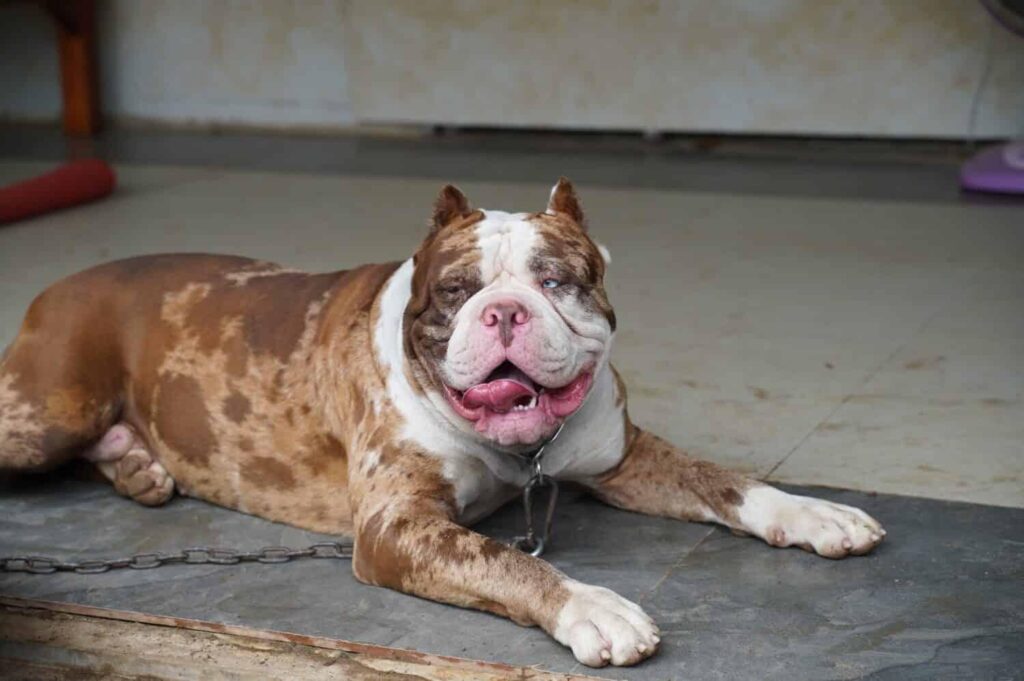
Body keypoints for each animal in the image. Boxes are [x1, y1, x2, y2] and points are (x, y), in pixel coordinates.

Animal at [0, 179, 884, 663]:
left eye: (557, 280)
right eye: (457, 290)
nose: (503, 310)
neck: (514, 453)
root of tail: (61, 282)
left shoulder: (623, 457)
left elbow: (724, 481)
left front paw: (815, 512)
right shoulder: (399, 526)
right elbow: (508, 560)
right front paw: (591, 605)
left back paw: (139, 466)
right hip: (45, 413)